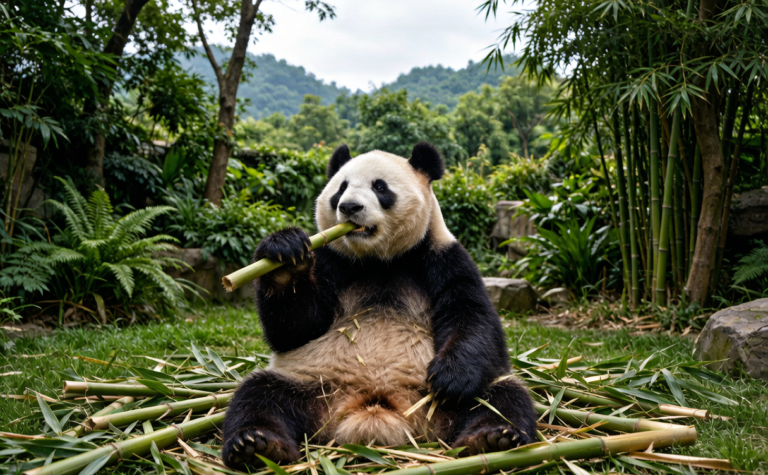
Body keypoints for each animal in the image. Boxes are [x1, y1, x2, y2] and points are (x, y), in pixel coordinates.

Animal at [222, 142, 537, 468]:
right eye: (341, 188)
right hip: (312, 384)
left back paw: (491, 439)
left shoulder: (442, 257)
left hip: (440, 397)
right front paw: (284, 256)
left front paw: (451, 378)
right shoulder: (331, 260)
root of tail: (376, 410)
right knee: (259, 395)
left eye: (380, 187)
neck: (377, 260)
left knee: (502, 398)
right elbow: (296, 328)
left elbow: (472, 315)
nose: (349, 207)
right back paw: (258, 445)